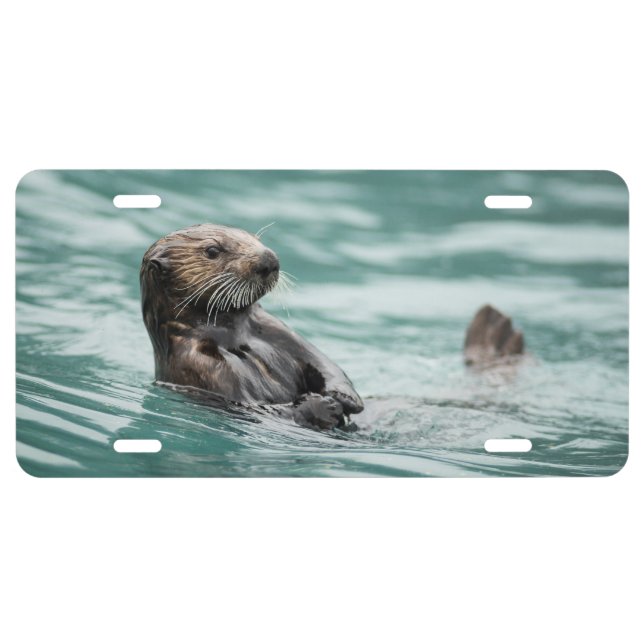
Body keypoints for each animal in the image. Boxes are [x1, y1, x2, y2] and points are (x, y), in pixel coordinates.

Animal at [140, 224, 524, 431]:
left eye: (252, 236)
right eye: (212, 250)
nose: (269, 259)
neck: (234, 336)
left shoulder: (275, 329)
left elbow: (323, 362)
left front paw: (344, 397)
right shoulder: (201, 366)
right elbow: (260, 408)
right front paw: (323, 407)